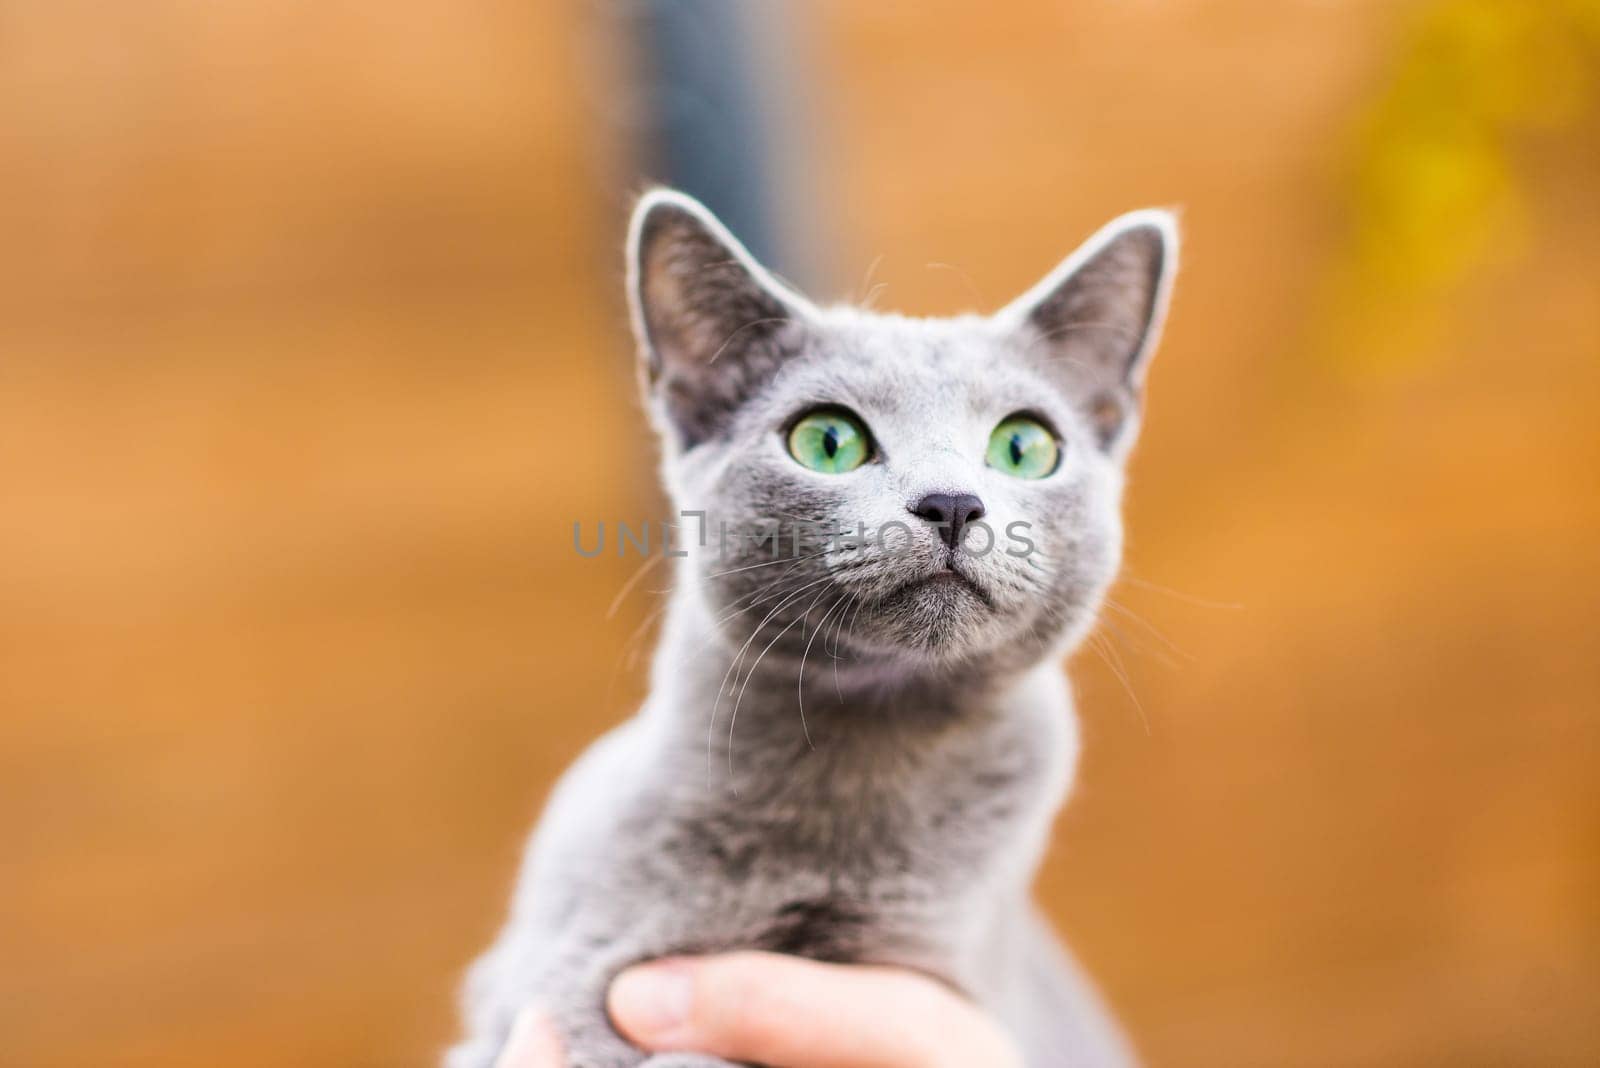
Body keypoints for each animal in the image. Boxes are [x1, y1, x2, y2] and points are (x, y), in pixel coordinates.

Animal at [448, 187, 1177, 1061]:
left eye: (1024, 446)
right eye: (827, 442)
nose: (951, 503)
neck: (869, 747)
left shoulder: (931, 968)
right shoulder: (571, 969)